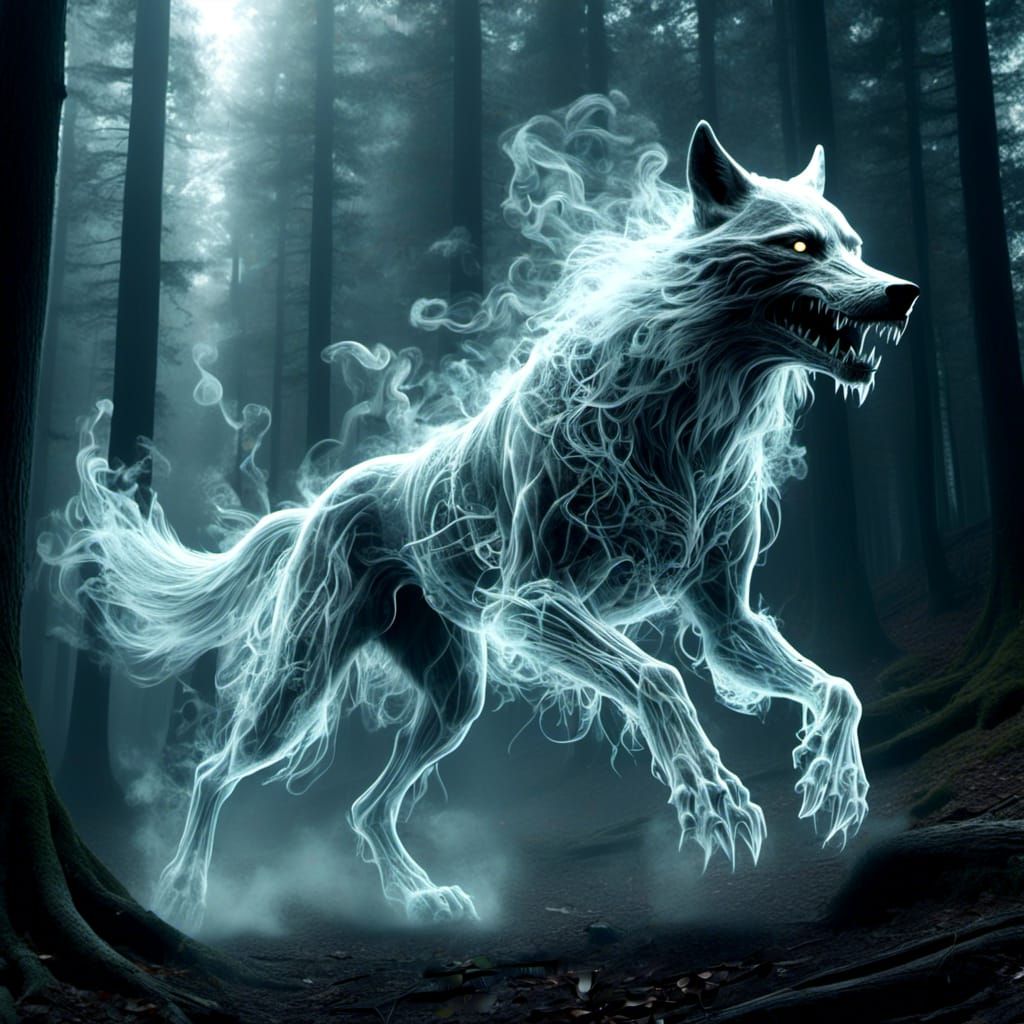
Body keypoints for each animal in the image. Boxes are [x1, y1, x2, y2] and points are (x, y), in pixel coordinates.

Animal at [45, 109, 918, 929]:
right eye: (800, 245)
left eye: (855, 243)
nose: (903, 292)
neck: (686, 416)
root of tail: (317, 501)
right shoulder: (532, 604)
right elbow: (661, 679)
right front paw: (716, 802)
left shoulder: (723, 619)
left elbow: (839, 688)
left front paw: (837, 785)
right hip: (301, 683)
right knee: (214, 771)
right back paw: (185, 894)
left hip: (454, 695)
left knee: (367, 807)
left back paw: (422, 898)